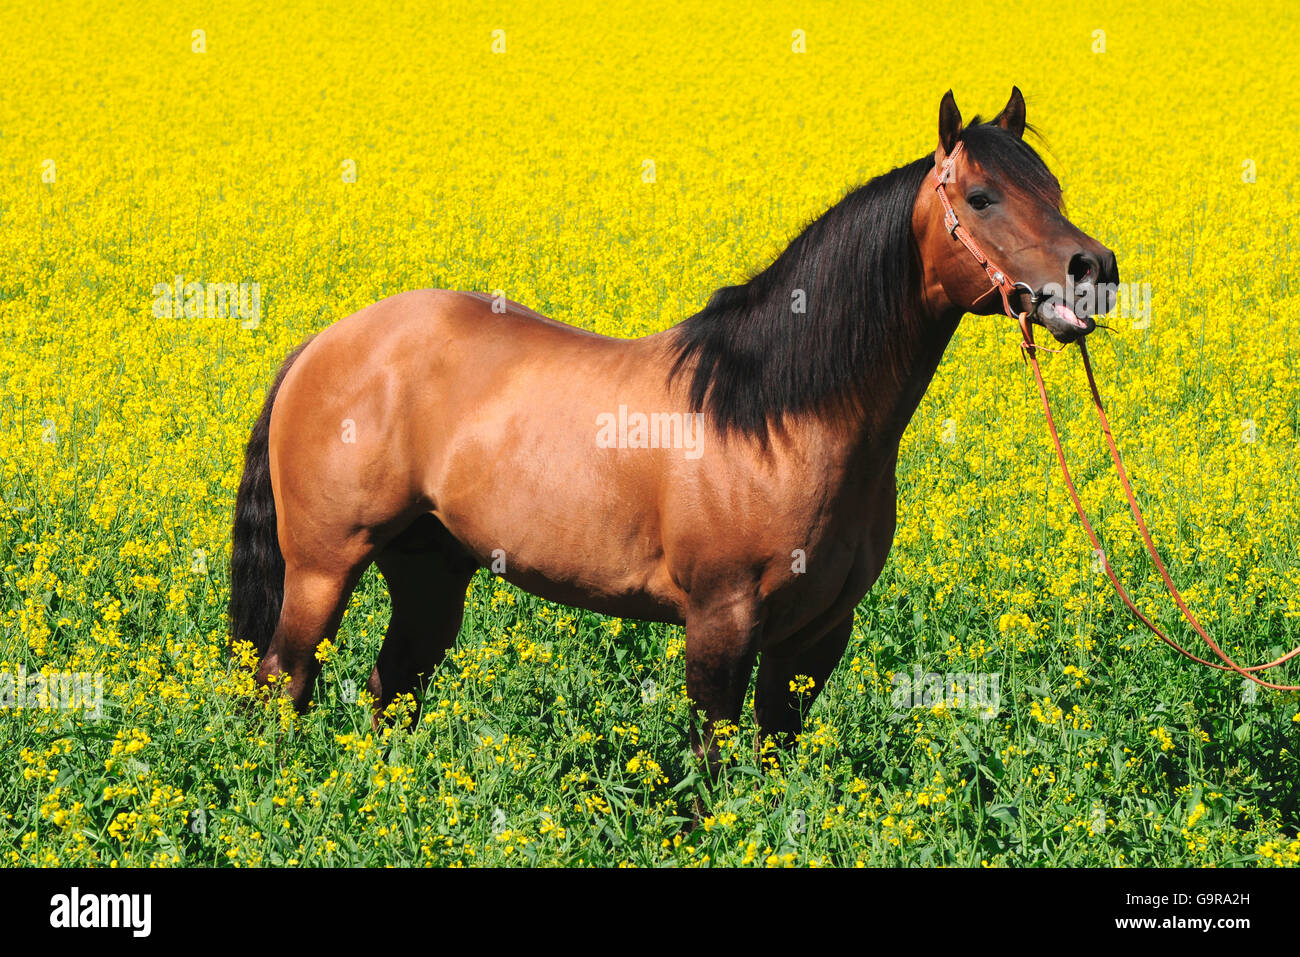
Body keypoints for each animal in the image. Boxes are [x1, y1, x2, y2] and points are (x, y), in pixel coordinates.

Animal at [226, 89, 1118, 780]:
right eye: (982, 197)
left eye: (1052, 186)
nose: (1095, 271)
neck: (777, 418)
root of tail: (327, 343)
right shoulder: (721, 621)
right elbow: (711, 762)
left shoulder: (816, 635)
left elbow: (771, 758)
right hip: (323, 567)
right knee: (284, 681)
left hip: (431, 571)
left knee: (392, 688)